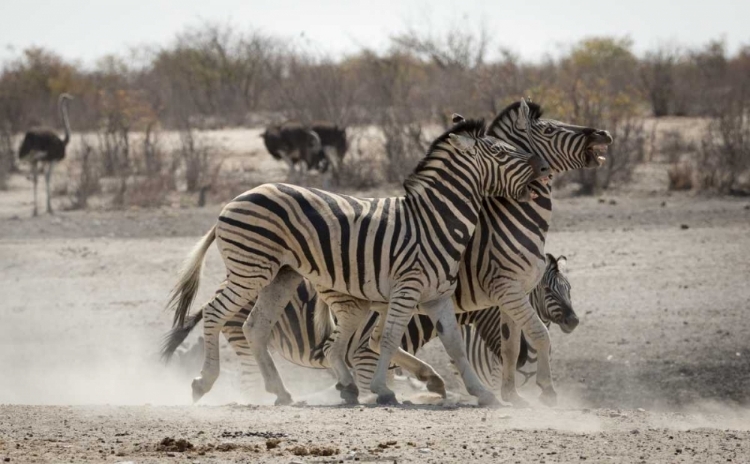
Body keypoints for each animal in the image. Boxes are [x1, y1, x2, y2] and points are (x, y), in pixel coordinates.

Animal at [164, 254, 576, 398]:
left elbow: (398, 360)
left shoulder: (374, 352)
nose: (572, 320)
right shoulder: (363, 355)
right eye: (549, 291)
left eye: (569, 288)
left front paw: (430, 381)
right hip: (240, 331)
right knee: (249, 369)